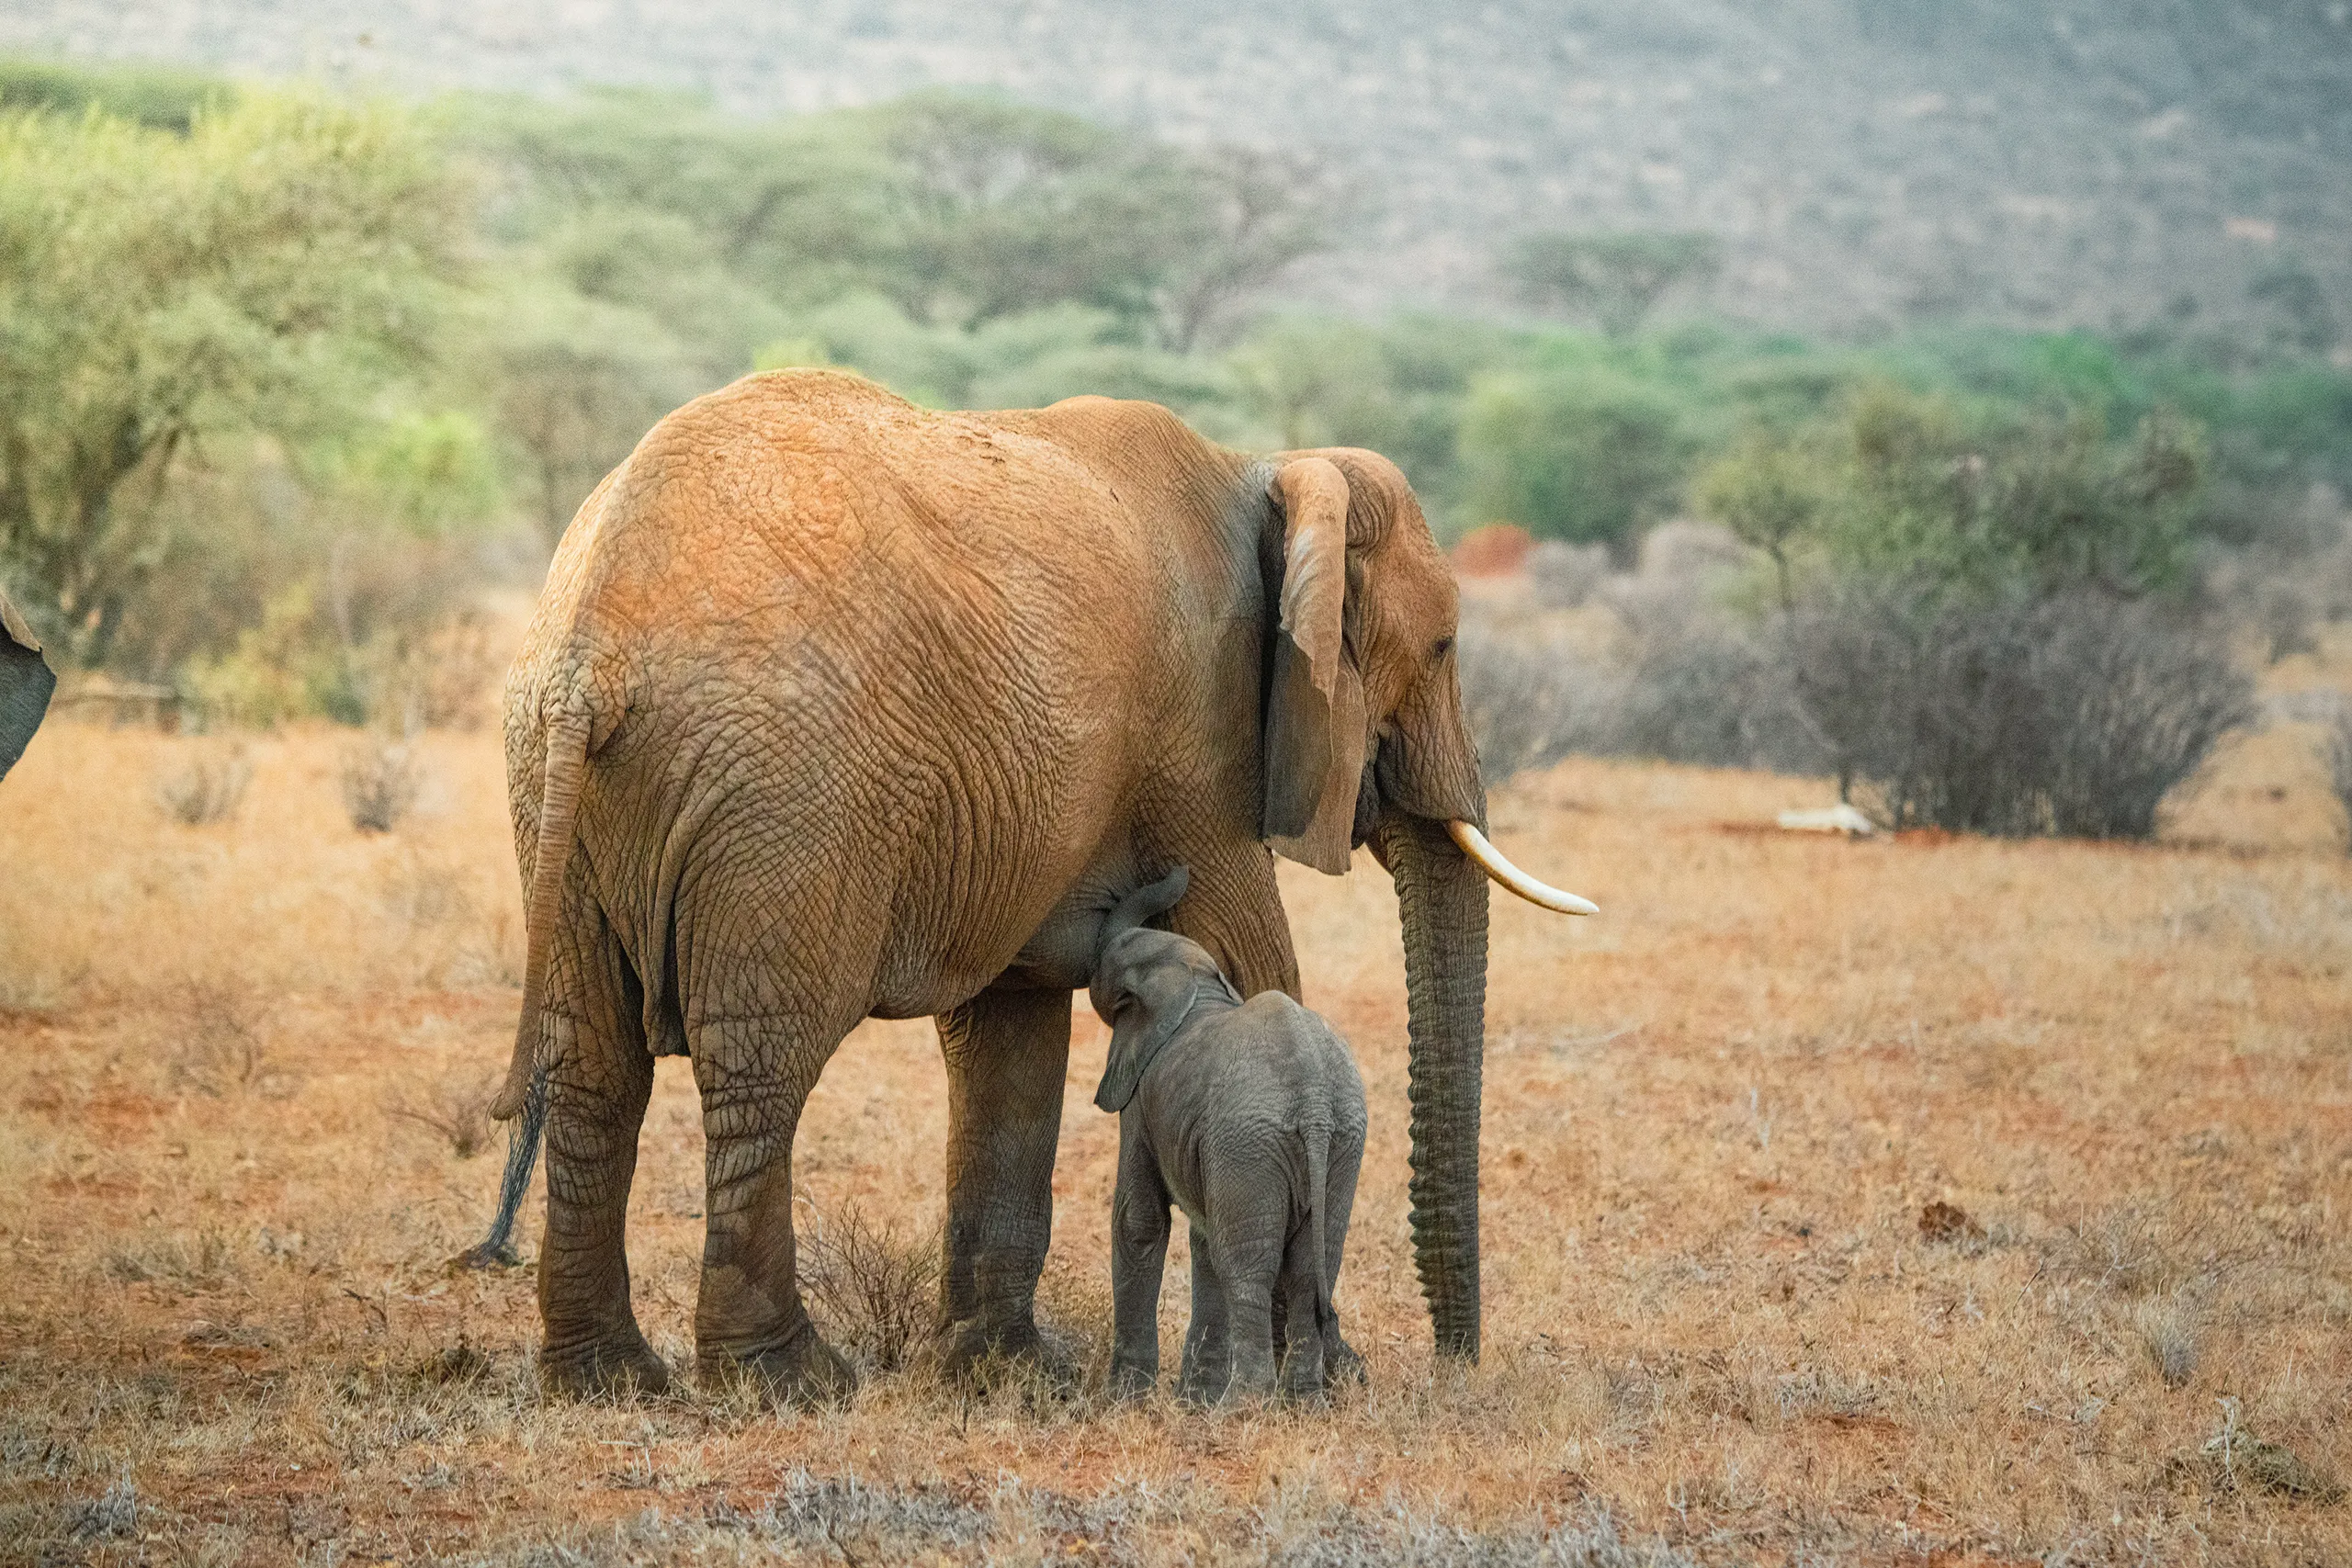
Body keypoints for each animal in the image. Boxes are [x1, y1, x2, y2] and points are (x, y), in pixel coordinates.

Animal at [1087, 866, 1366, 1403]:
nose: (1176, 871)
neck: (1195, 979)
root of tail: (1314, 1100)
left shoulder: (1140, 1097)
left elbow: (1139, 1219)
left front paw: (1124, 1400)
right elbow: (1203, 1234)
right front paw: (1191, 1400)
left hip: (1250, 1142)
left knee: (1247, 1266)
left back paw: (1243, 1407)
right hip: (1335, 1143)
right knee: (1308, 1265)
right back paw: (1302, 1403)